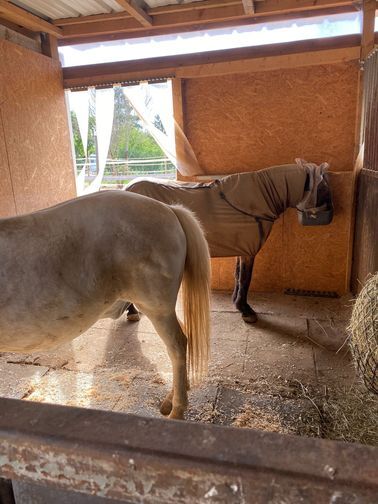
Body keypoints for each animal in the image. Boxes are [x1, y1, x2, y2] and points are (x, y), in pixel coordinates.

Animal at [124, 163, 330, 324]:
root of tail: (126, 190)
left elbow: (238, 276)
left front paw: (238, 304)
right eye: (323, 188)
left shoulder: (243, 249)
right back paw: (133, 312)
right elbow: (245, 279)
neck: (258, 198)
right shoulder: (249, 251)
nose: (330, 211)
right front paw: (246, 310)